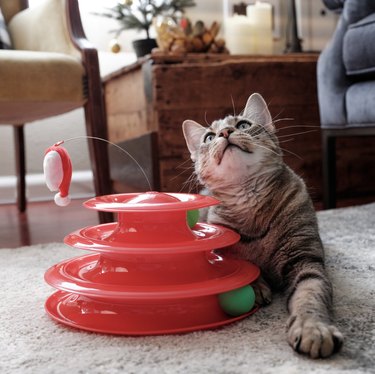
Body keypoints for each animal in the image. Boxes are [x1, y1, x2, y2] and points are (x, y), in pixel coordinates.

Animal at [184, 93, 346, 360]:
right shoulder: (218, 250)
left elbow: (310, 294)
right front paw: (257, 284)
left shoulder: (305, 259)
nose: (225, 132)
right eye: (209, 137)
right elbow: (238, 265)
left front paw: (314, 328)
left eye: (243, 125)